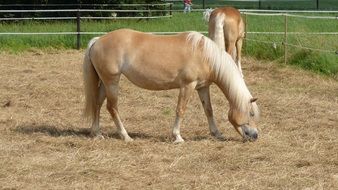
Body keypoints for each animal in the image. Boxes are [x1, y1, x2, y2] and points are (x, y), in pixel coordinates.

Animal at [82, 28, 258, 142]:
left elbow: (208, 110)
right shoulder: (188, 85)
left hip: (105, 82)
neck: (205, 55)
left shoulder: (202, 87)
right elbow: (181, 110)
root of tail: (98, 41)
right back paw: (126, 136)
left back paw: (97, 133)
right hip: (112, 82)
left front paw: (217, 133)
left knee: (97, 104)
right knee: (112, 108)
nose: (256, 136)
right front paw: (177, 137)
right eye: (251, 114)